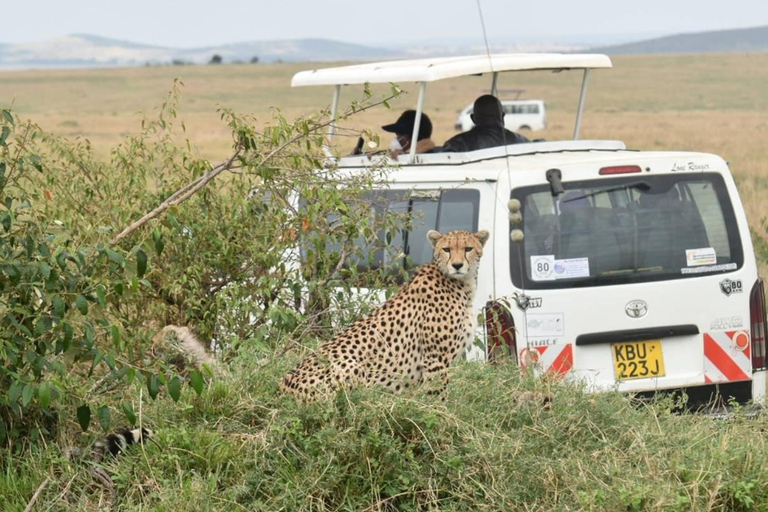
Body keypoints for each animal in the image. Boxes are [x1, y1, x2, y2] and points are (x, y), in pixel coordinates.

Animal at [282, 228, 492, 400]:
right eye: (447, 249)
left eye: (468, 248)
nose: (457, 265)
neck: (461, 284)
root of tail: (284, 385)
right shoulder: (435, 359)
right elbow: (438, 395)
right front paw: (439, 413)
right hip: (352, 366)